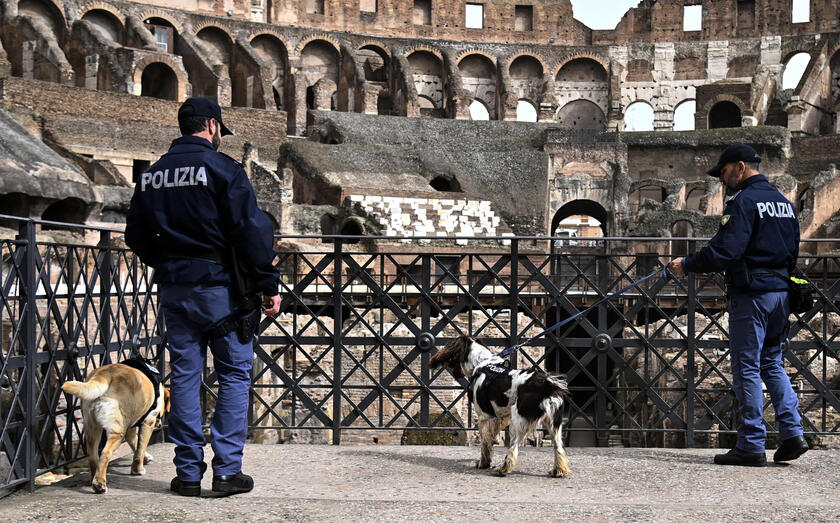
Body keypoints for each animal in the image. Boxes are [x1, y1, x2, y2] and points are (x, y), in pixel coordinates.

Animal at [61, 362, 168, 494]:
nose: (160, 424)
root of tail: (105, 374)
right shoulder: (148, 421)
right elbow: (140, 448)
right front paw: (138, 469)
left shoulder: (130, 428)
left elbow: (135, 443)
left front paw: (145, 458)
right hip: (117, 432)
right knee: (105, 453)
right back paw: (99, 484)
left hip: (92, 428)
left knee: (93, 457)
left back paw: (94, 479)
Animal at [434, 336, 572, 478]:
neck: (482, 363)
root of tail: (545, 384)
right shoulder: (501, 416)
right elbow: (491, 438)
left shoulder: (484, 417)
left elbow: (485, 443)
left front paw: (483, 463)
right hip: (554, 424)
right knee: (558, 448)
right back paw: (558, 470)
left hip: (518, 422)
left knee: (513, 449)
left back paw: (503, 468)